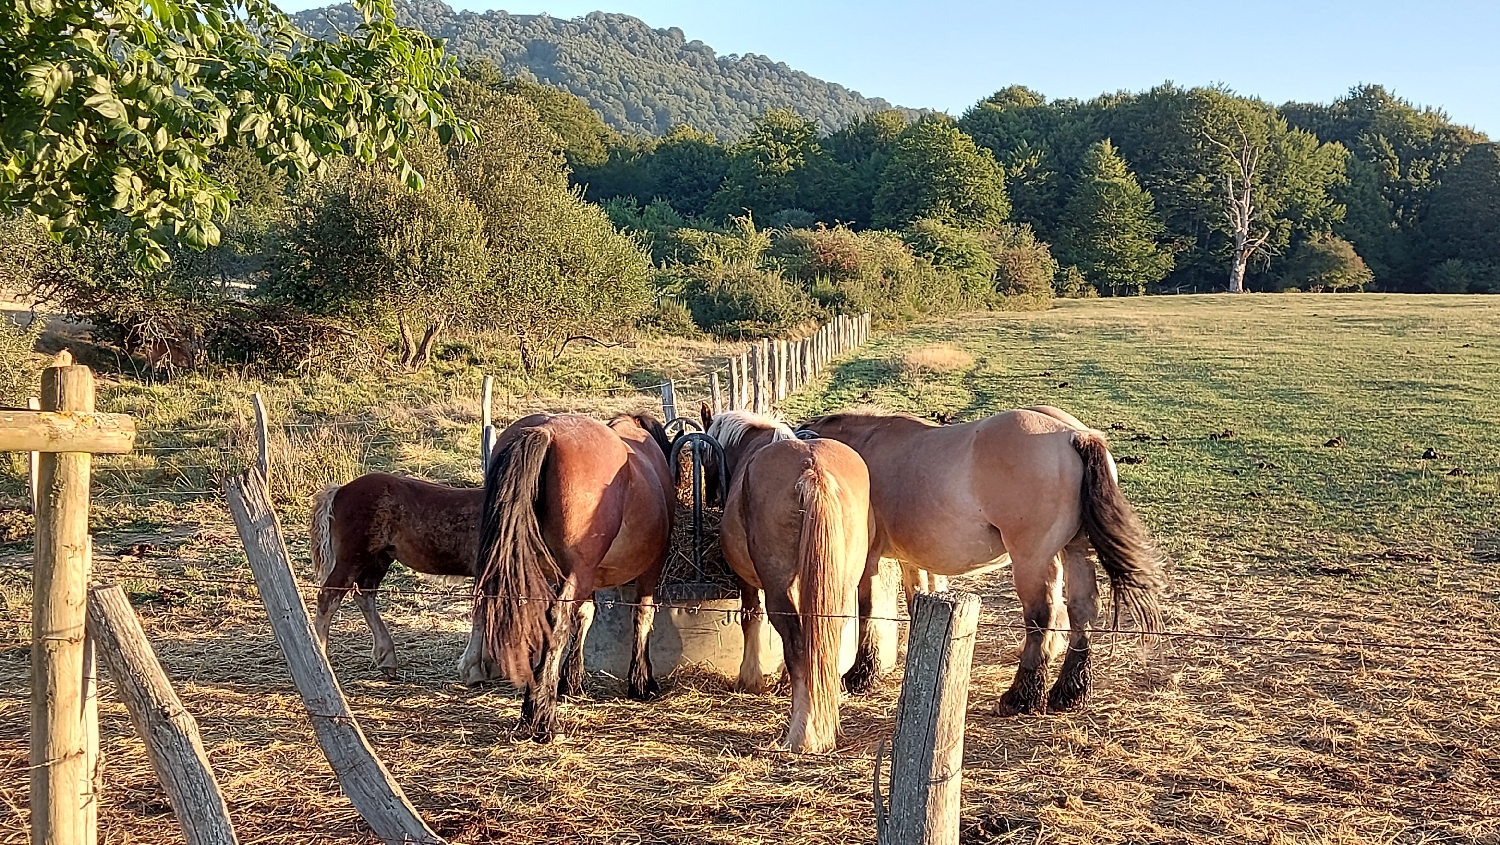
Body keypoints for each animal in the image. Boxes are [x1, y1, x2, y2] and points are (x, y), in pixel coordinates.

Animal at [309, 477, 483, 681]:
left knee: (364, 596)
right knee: (328, 598)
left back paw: (387, 658)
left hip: (379, 559)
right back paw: (320, 656)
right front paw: (473, 670)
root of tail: (340, 490)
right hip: (352, 560)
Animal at [468, 414, 675, 744]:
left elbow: (585, 615)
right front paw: (642, 682)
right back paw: (542, 718)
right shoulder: (646, 570)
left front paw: (570, 679)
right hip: (577, 572)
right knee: (556, 622)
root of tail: (545, 432)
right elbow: (643, 616)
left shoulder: (586, 576)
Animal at [705, 405, 876, 750]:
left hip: (777, 587)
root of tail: (814, 471)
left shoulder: (750, 583)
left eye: (706, 456)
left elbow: (750, 617)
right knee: (824, 640)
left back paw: (802, 733)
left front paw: (750, 678)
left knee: (797, 645)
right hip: (839, 587)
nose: (711, 496)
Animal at [804, 405, 1164, 717]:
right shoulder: (911, 560)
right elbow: (914, 598)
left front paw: (861, 674)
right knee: (1082, 610)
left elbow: (867, 611)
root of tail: (1073, 435)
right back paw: (1068, 692)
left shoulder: (869, 560)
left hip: (1032, 560)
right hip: (1074, 550)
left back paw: (1022, 696)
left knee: (1041, 617)